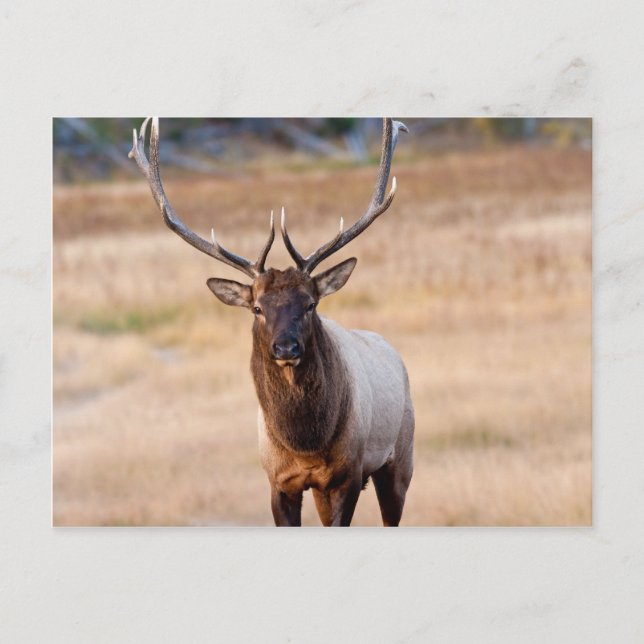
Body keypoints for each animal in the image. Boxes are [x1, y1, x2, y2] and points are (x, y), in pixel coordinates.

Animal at [129, 117, 414, 526]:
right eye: (257, 308)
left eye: (310, 304)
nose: (286, 346)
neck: (306, 445)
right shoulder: (279, 481)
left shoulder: (347, 475)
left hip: (400, 458)